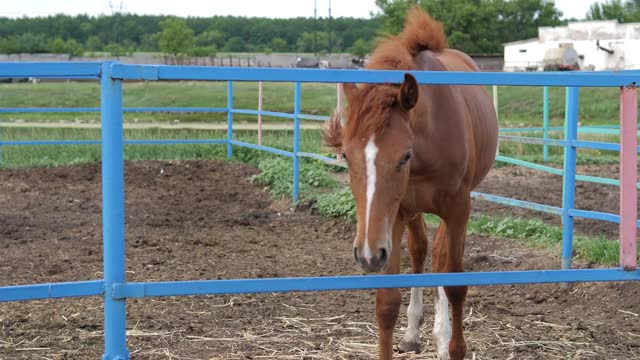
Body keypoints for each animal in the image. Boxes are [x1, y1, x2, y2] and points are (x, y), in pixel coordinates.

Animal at [322, 6, 498, 360]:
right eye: (346, 155)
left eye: (404, 156)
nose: (366, 254)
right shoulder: (395, 216)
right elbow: (388, 301)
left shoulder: (458, 209)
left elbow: (454, 283)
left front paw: (453, 346)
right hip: (411, 212)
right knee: (421, 250)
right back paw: (414, 332)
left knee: (442, 257)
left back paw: (441, 335)